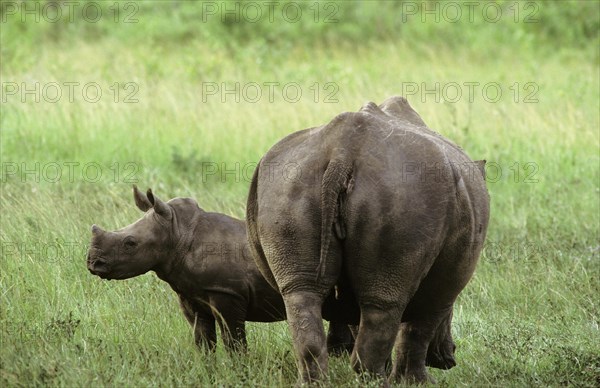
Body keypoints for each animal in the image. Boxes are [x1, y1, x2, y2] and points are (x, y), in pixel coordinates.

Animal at [86, 186, 354, 354]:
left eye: (130, 243)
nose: (92, 263)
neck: (177, 233)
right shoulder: (191, 295)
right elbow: (204, 342)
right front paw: (209, 371)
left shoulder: (227, 293)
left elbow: (234, 343)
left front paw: (240, 373)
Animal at [246, 96, 490, 382]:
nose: (450, 358)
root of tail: (342, 151)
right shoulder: (444, 291)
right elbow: (419, 329)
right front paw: (417, 382)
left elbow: (360, 319)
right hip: (404, 191)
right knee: (383, 304)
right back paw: (377, 381)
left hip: (288, 183)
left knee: (301, 293)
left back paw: (316, 380)